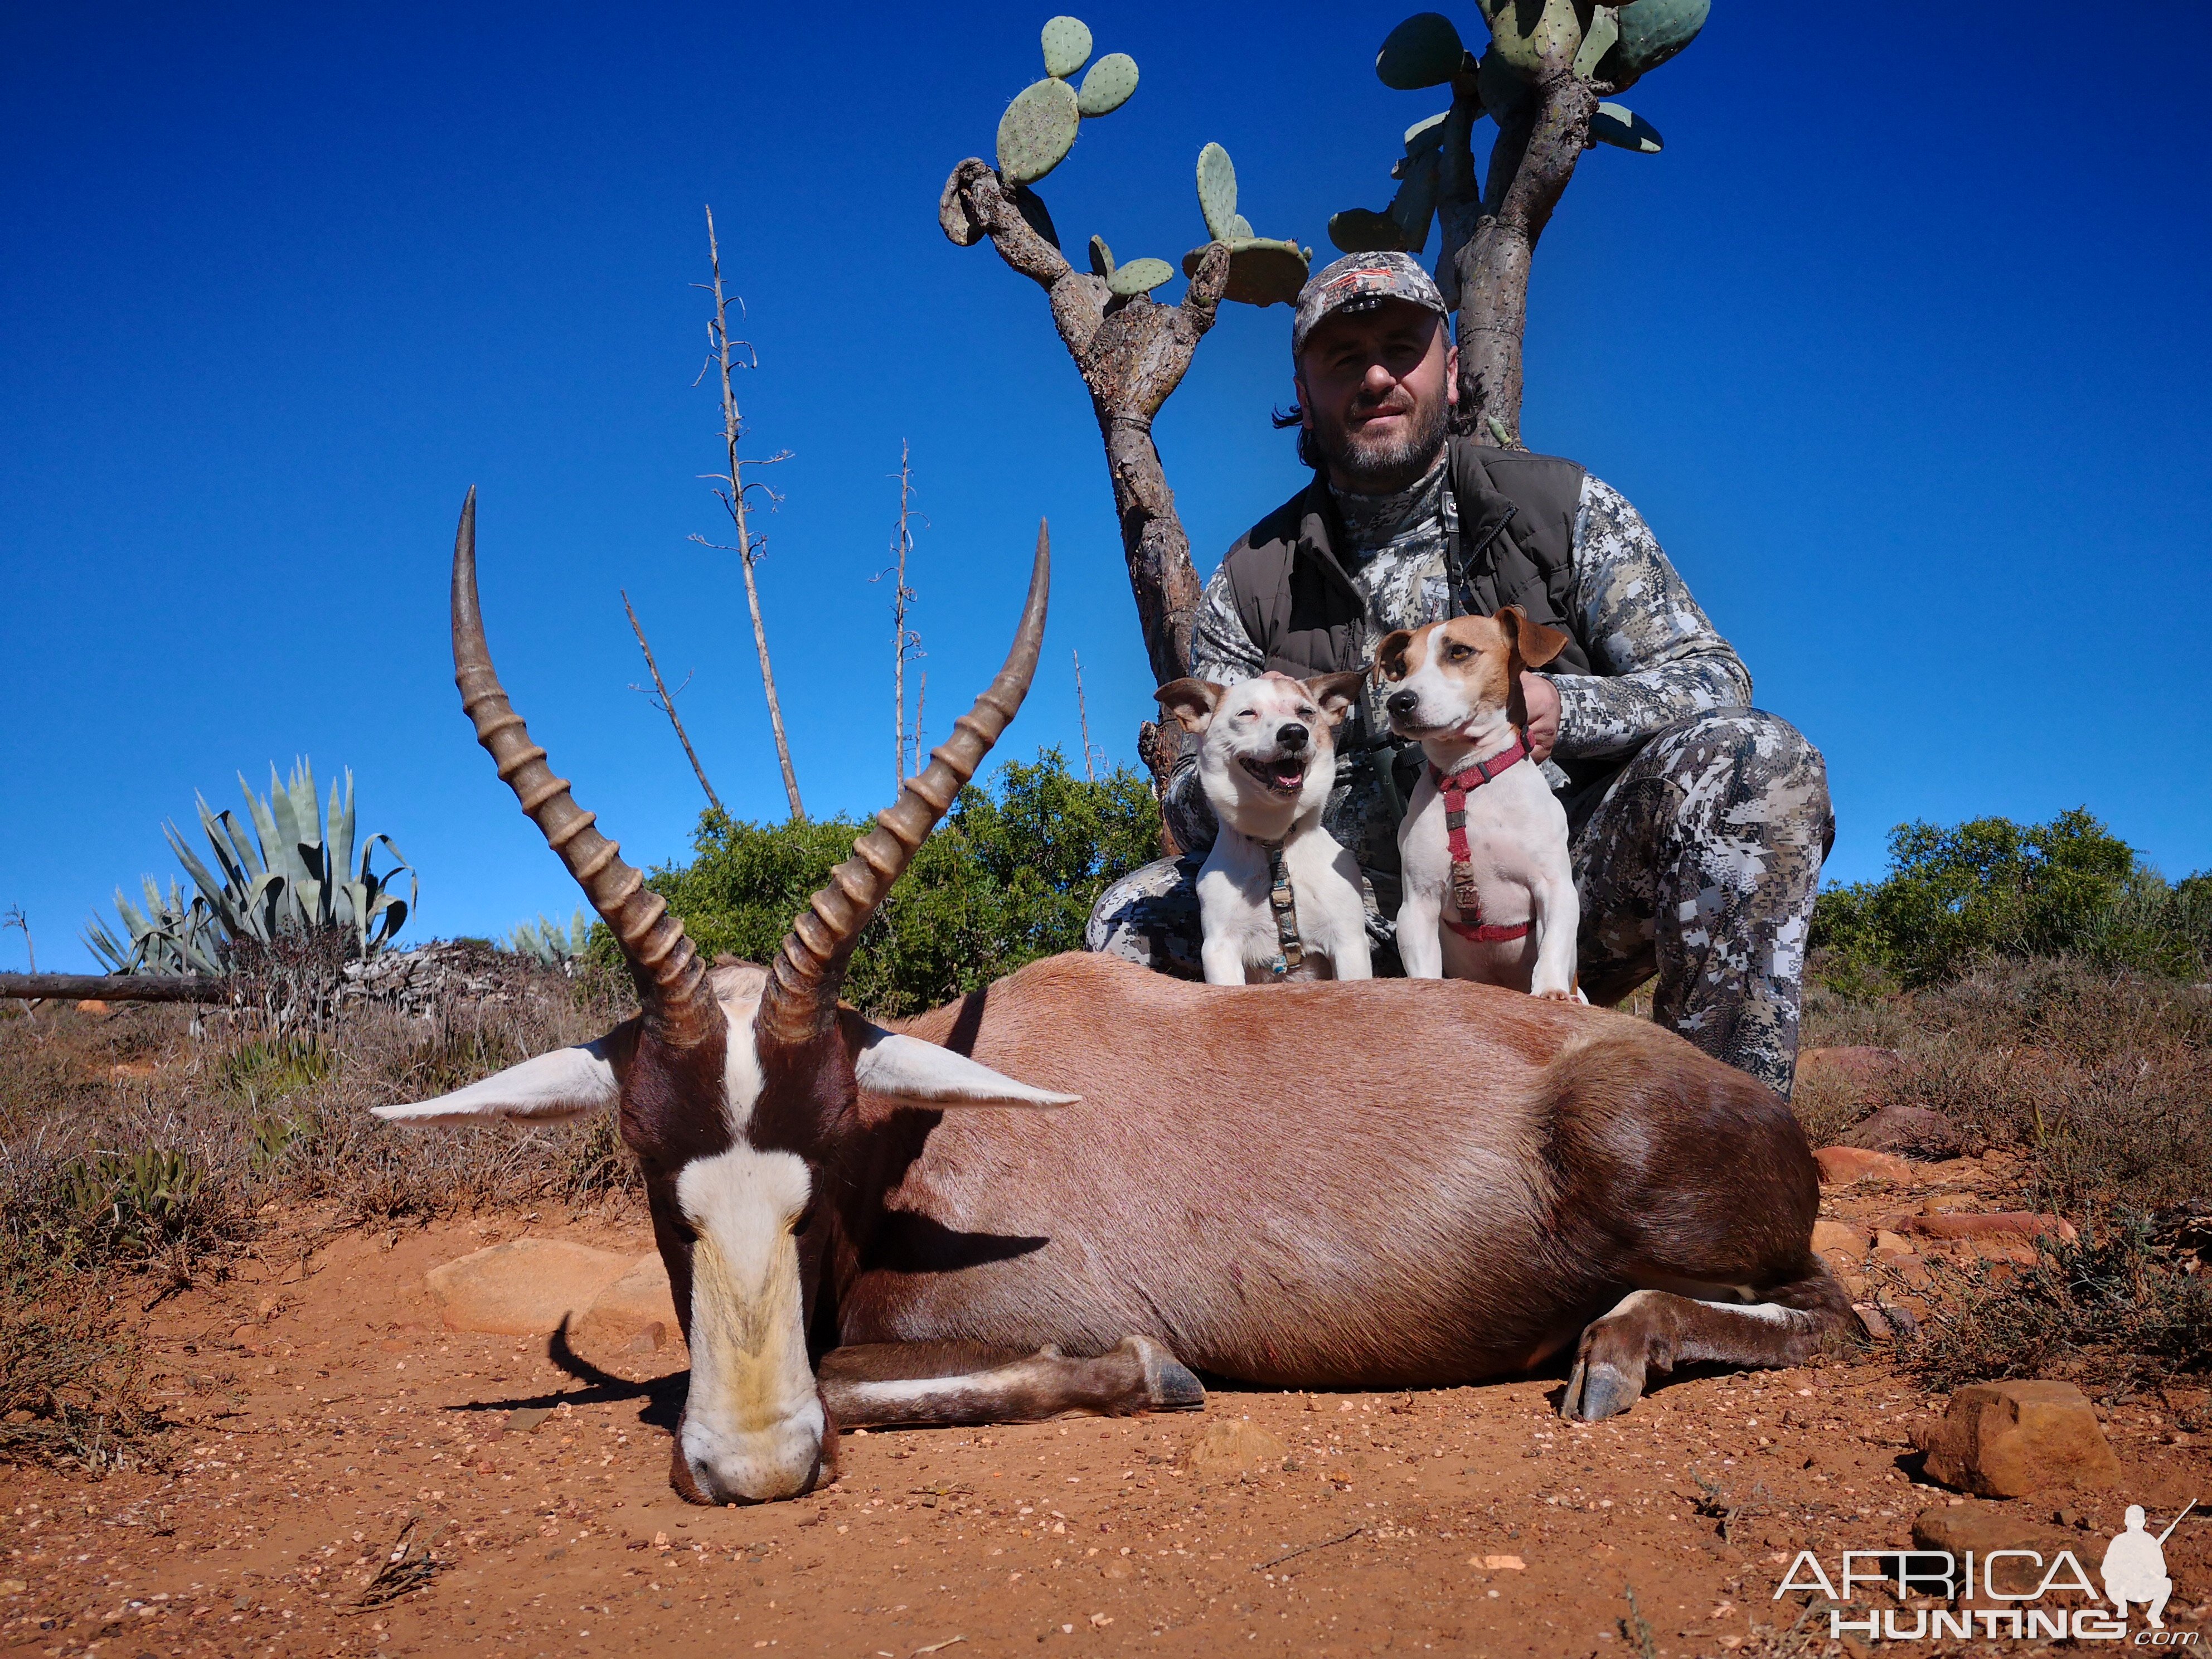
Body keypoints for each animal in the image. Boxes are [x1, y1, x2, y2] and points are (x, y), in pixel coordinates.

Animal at [1150, 672, 1371, 986]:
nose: (1295, 733)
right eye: (1247, 713)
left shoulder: (1348, 943)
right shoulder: (1220, 949)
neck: (1275, 842)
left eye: (1306, 712)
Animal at [1371, 610, 1584, 1000]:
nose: (1399, 702)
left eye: (1460, 651)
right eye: (1402, 666)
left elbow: (1554, 945)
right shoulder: (1417, 904)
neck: (1467, 780)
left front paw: (1549, 990)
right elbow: (1423, 969)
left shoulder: (1555, 886)